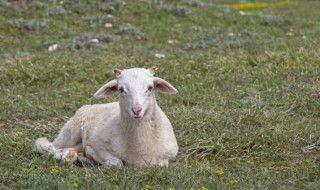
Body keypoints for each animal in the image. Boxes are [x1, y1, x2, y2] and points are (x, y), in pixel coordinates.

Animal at [35, 67, 180, 168]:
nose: (136, 110)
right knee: (46, 146)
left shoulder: (168, 156)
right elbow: (116, 163)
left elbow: (161, 164)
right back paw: (66, 155)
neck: (140, 149)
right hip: (70, 132)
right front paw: (92, 156)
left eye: (150, 88)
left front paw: (87, 158)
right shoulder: (98, 145)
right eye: (121, 89)